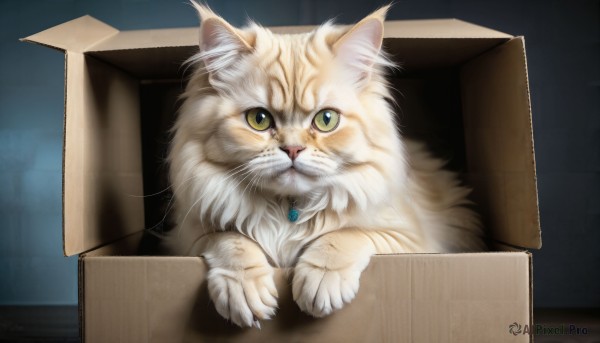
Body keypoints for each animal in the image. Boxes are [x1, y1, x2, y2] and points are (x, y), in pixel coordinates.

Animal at [166, 2, 486, 330]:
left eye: (326, 119)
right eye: (259, 119)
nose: (293, 149)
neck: (288, 210)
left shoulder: (411, 241)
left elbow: (346, 235)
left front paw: (319, 283)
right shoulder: (186, 237)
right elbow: (230, 239)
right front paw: (244, 289)